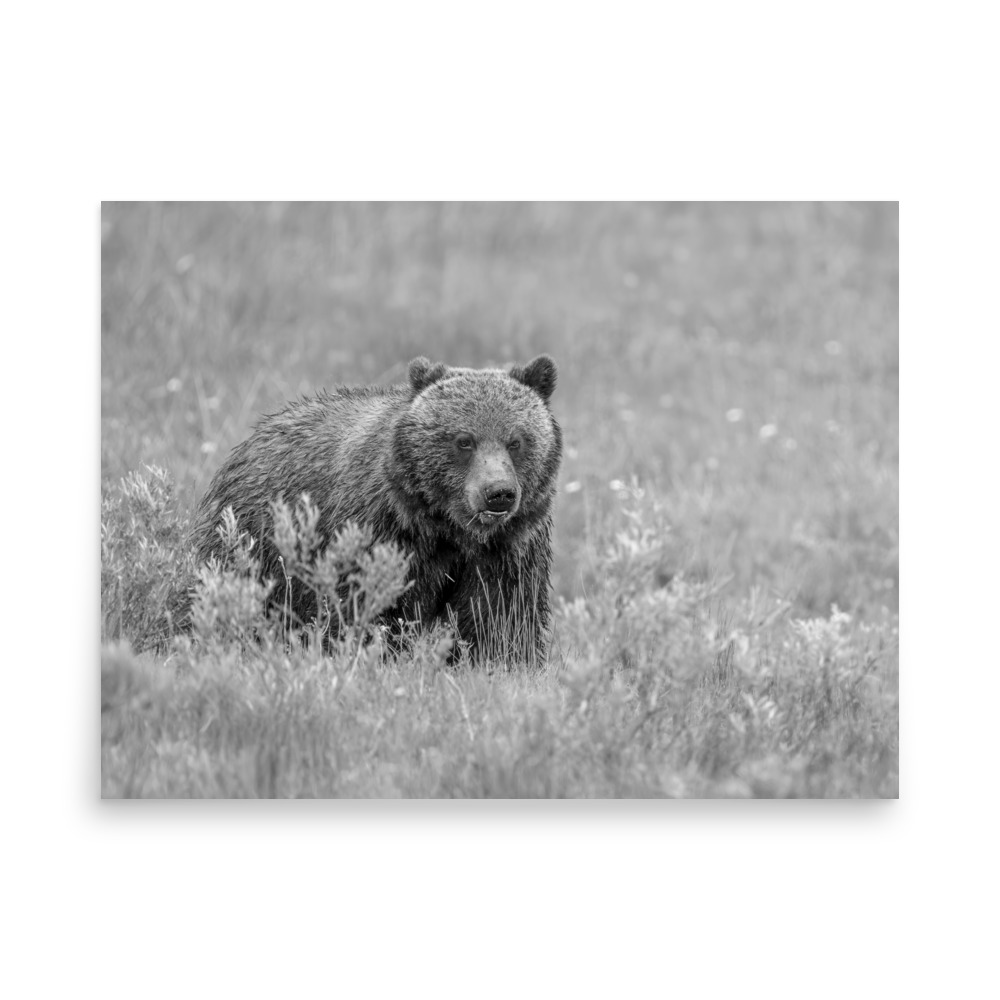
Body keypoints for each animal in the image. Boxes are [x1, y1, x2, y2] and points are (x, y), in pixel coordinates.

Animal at [192, 355, 562, 663]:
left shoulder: (509, 548)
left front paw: (503, 662)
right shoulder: (381, 530)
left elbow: (502, 616)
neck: (448, 528)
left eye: (516, 441)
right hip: (253, 539)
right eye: (464, 440)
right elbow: (369, 605)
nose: (498, 493)